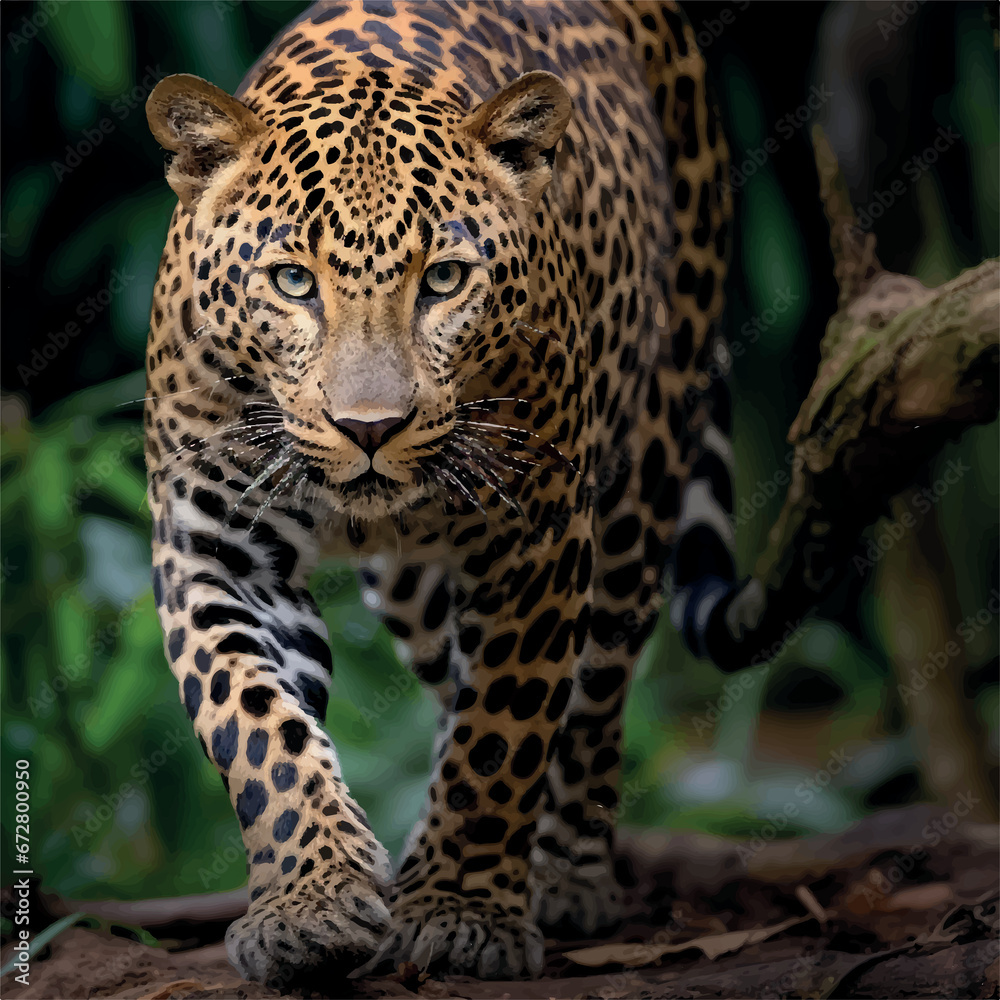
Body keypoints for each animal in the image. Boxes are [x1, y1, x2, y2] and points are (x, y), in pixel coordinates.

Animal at [144, 0, 737, 986]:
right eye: (292, 281)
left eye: (446, 280)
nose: (370, 428)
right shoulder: (213, 542)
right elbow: (254, 721)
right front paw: (311, 903)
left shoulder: (535, 533)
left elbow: (504, 725)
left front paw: (462, 911)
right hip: (416, 588)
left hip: (647, 455)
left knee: (595, 688)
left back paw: (565, 874)